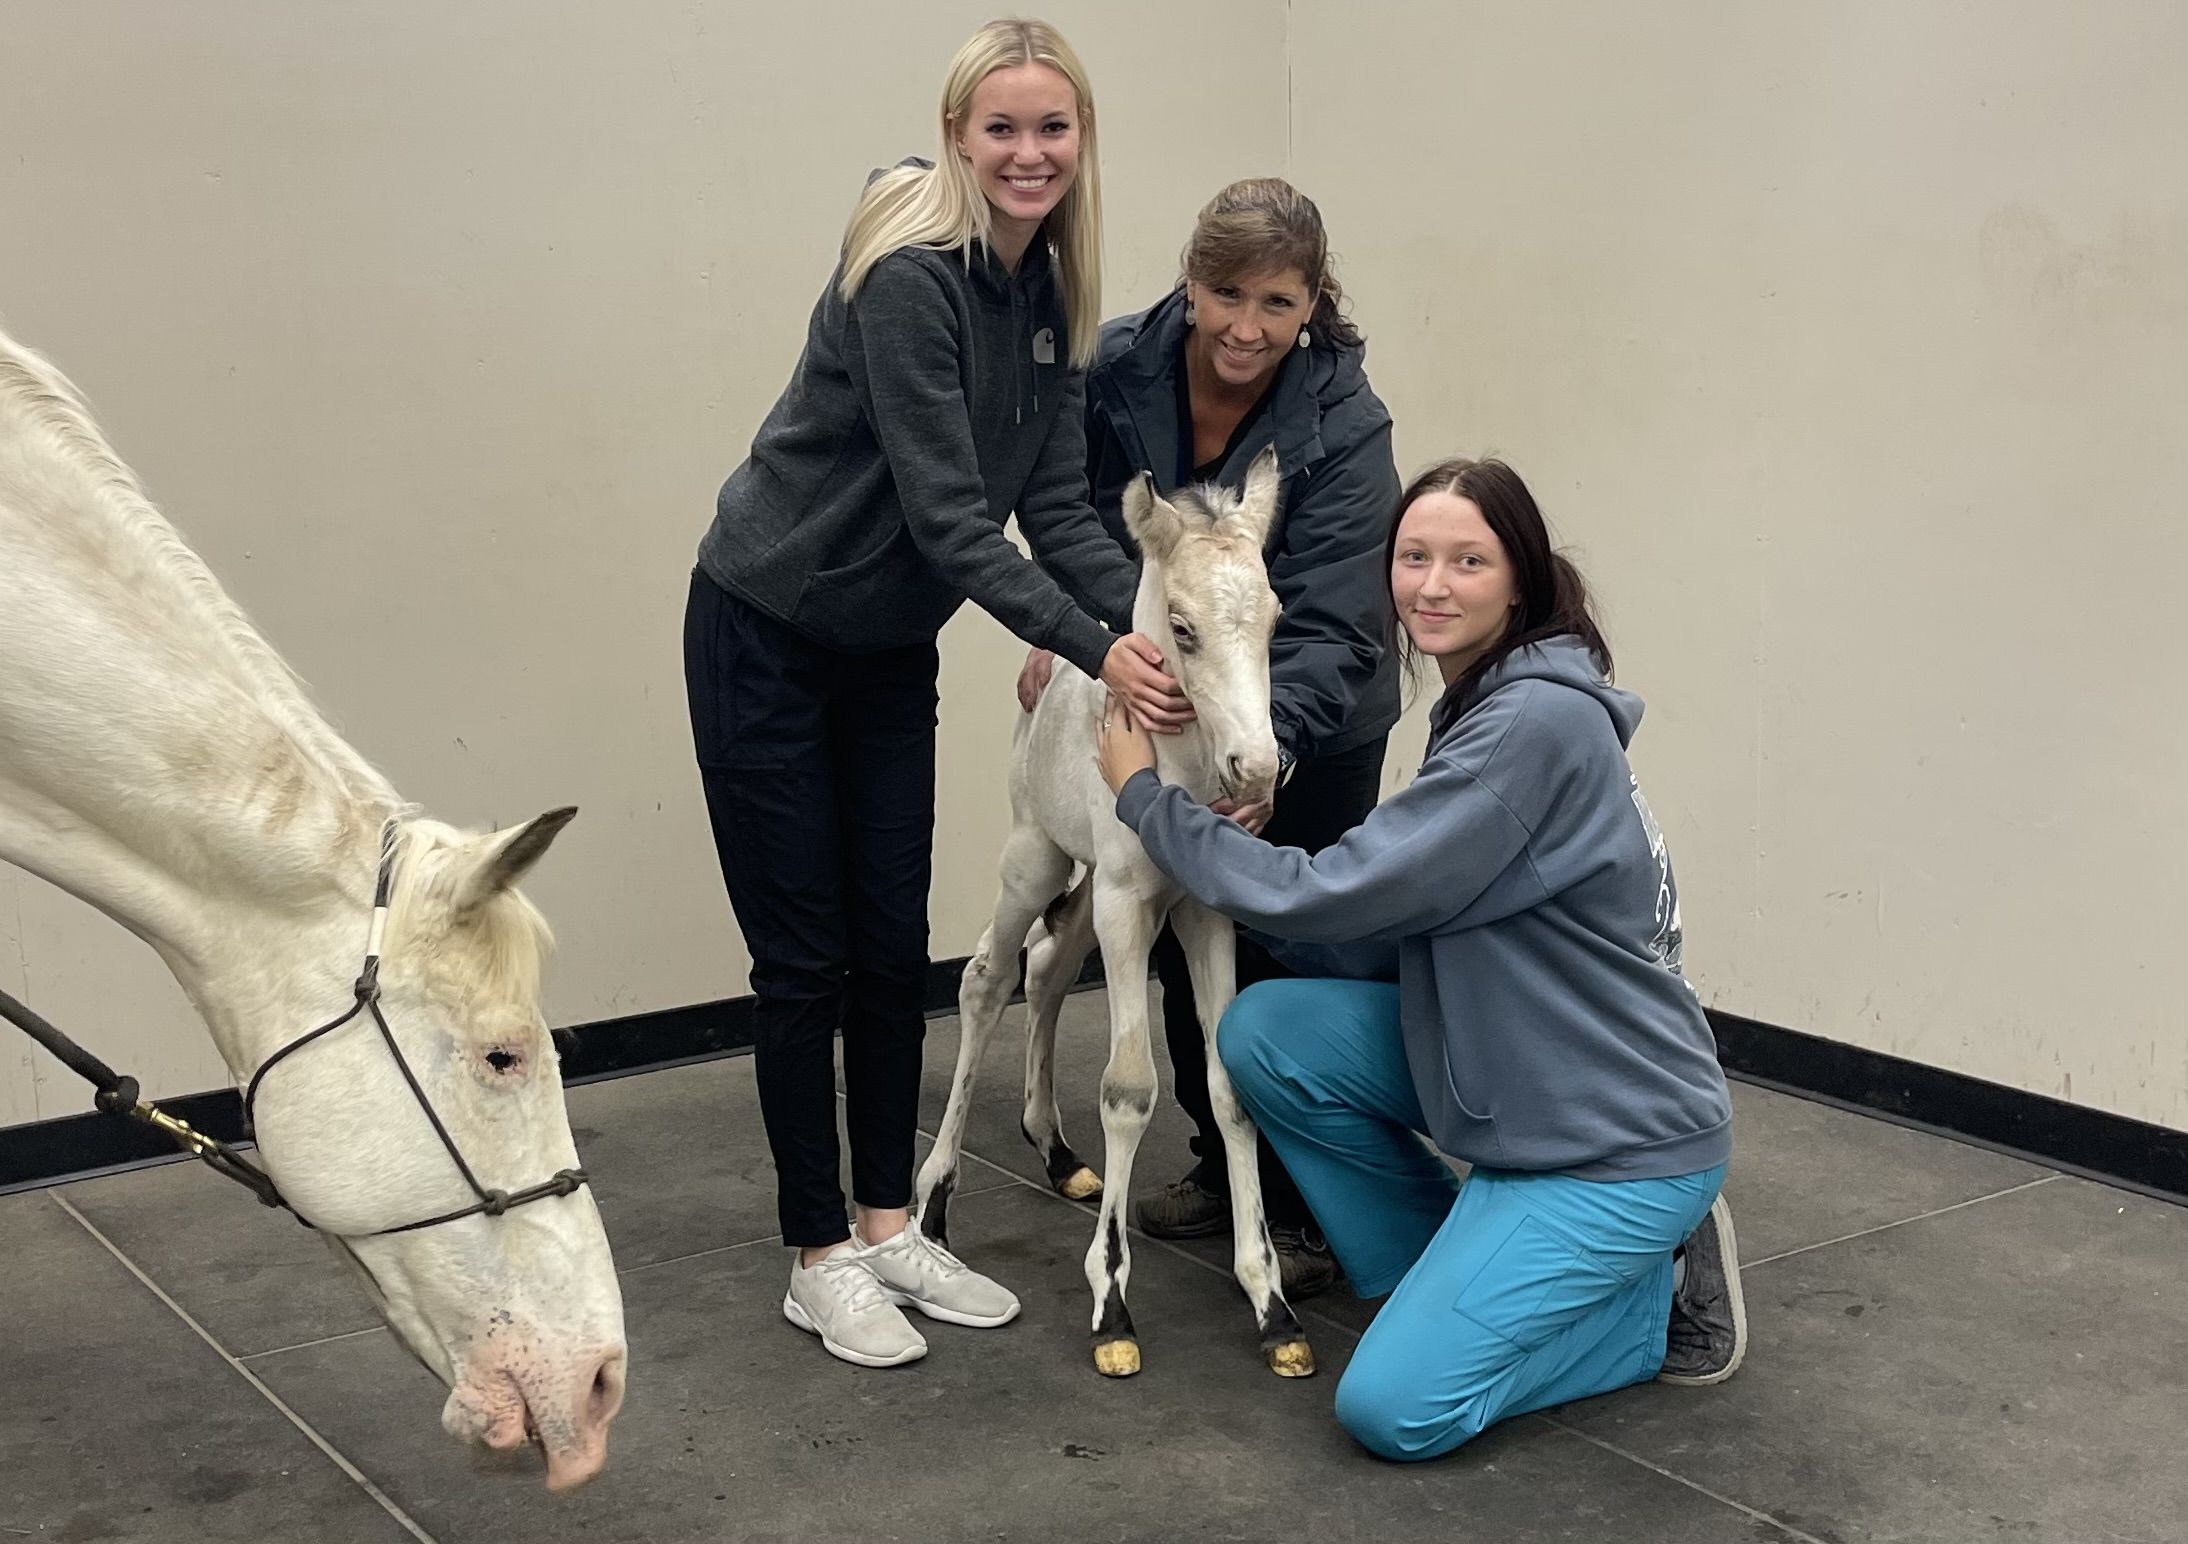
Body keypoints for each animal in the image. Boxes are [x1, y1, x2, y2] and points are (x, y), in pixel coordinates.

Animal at [910, 450, 1304, 1373]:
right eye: (1185, 630)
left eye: (1275, 619)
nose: (1257, 769)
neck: (1178, 767)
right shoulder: (1128, 902)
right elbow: (1129, 1085)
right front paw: (1113, 1303)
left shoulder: (1201, 911)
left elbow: (1228, 1088)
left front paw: (1269, 1302)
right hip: (1039, 860)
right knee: (986, 977)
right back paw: (934, 1199)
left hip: (1092, 893)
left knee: (1049, 969)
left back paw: (1053, 1149)